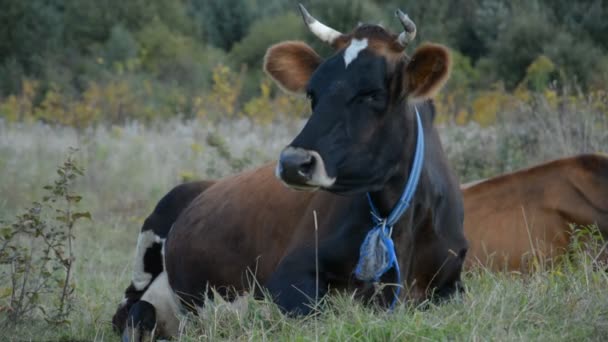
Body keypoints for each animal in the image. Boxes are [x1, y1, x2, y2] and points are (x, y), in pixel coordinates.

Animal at [117, 4, 470, 340]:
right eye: (312, 93)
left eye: (372, 94)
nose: (292, 162)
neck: (398, 217)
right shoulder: (290, 274)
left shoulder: (452, 282)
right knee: (132, 308)